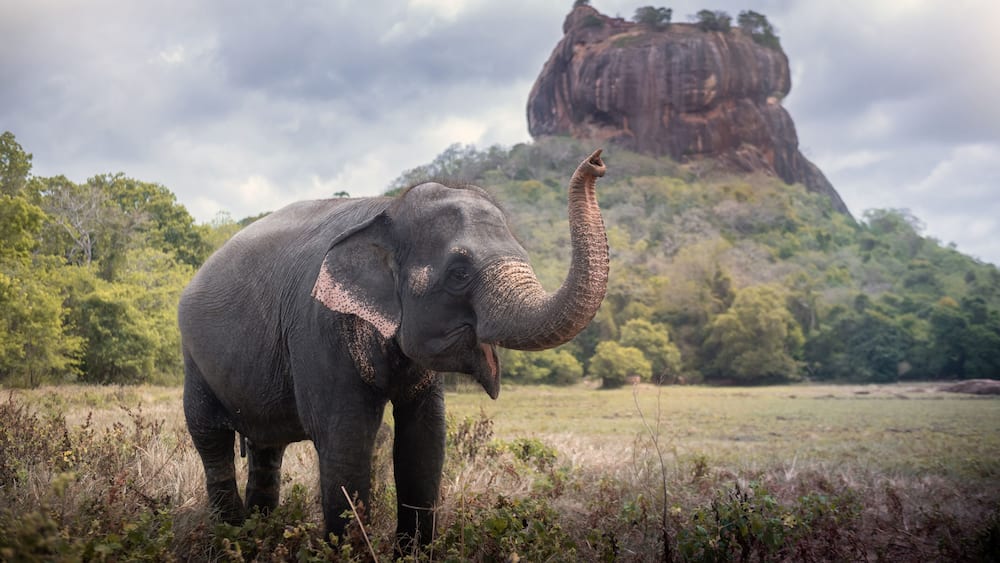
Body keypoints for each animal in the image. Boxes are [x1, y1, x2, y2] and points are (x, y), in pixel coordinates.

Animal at [178, 149, 609, 548]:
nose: (598, 161)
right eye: (459, 273)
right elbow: (345, 438)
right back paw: (228, 536)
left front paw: (413, 551)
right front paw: (349, 550)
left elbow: (424, 438)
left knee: (267, 448)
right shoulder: (319, 327)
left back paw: (257, 535)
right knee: (210, 437)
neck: (386, 209)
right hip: (193, 358)